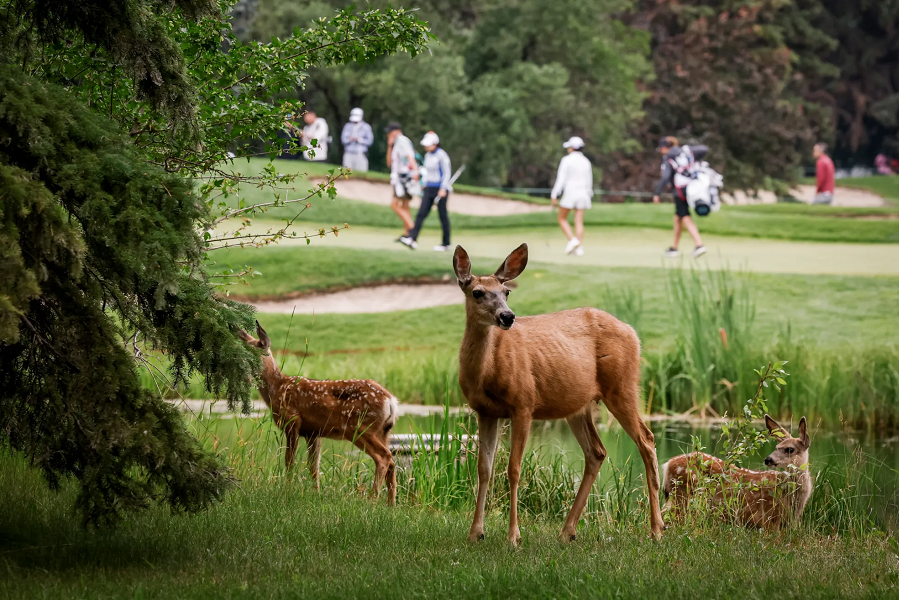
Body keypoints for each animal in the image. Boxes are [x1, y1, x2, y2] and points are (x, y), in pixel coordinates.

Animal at [239, 322, 398, 504]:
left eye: (252, 353)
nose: (241, 371)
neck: (277, 388)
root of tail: (391, 401)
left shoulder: (292, 421)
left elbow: (289, 461)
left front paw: (287, 489)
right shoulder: (313, 432)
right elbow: (314, 466)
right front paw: (316, 492)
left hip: (359, 428)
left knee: (384, 457)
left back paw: (372, 499)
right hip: (383, 431)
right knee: (392, 461)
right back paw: (391, 504)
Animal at [454, 244, 664, 544]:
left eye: (506, 292)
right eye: (477, 292)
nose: (508, 316)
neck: (487, 370)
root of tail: (634, 333)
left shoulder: (524, 403)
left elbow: (513, 469)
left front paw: (514, 537)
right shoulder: (484, 411)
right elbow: (484, 469)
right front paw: (475, 533)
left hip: (622, 386)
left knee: (646, 440)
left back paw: (657, 529)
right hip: (578, 406)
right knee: (597, 452)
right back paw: (567, 531)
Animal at [660, 412, 816, 528]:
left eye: (790, 449)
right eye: (776, 447)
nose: (768, 459)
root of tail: (667, 464)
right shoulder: (770, 519)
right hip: (683, 494)